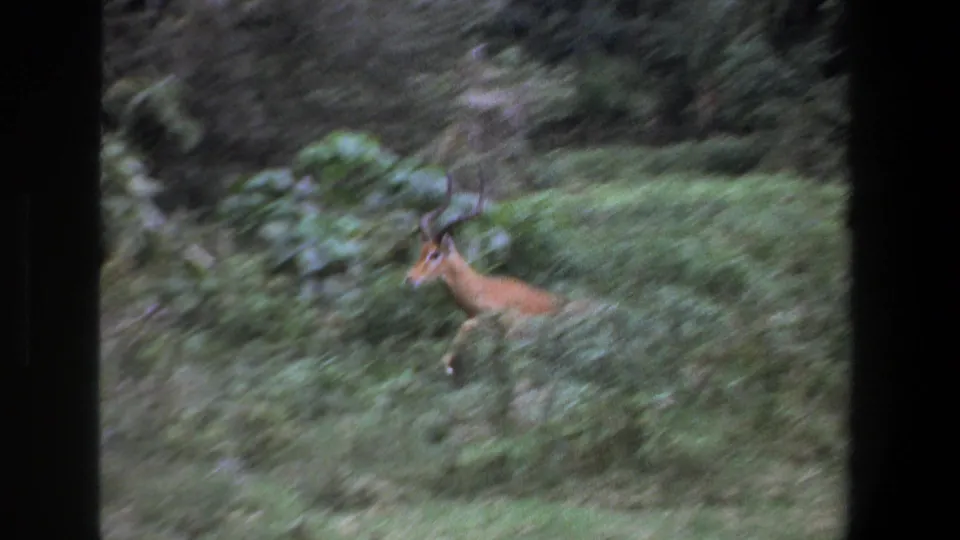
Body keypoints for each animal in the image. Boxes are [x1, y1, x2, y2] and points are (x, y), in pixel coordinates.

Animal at [404, 165, 567, 385]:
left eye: (435, 254)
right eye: (422, 251)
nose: (410, 278)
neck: (483, 289)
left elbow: (466, 327)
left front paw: (447, 366)